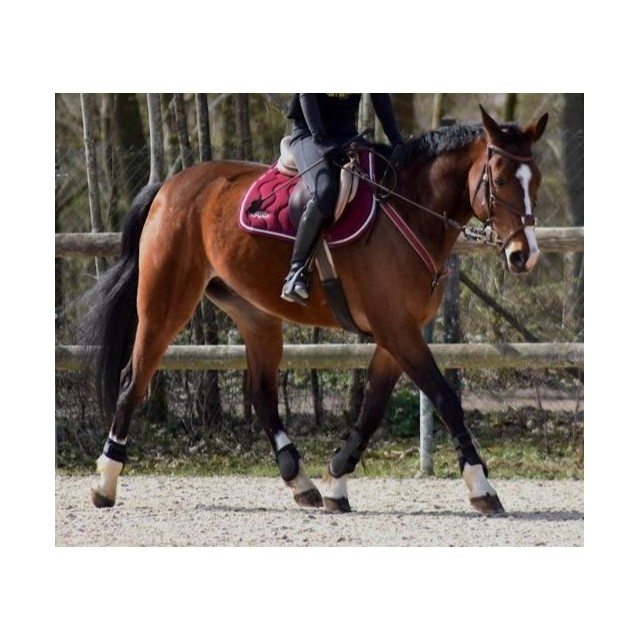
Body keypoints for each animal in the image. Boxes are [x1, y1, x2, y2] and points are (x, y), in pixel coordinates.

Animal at [82, 105, 548, 515]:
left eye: (536, 179)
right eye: (500, 178)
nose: (525, 256)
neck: (410, 209)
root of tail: (168, 186)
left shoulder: (396, 335)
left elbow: (371, 409)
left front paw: (337, 482)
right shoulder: (398, 330)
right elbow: (445, 398)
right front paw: (482, 487)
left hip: (256, 315)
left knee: (262, 394)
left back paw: (300, 482)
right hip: (164, 305)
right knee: (133, 379)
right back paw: (105, 481)